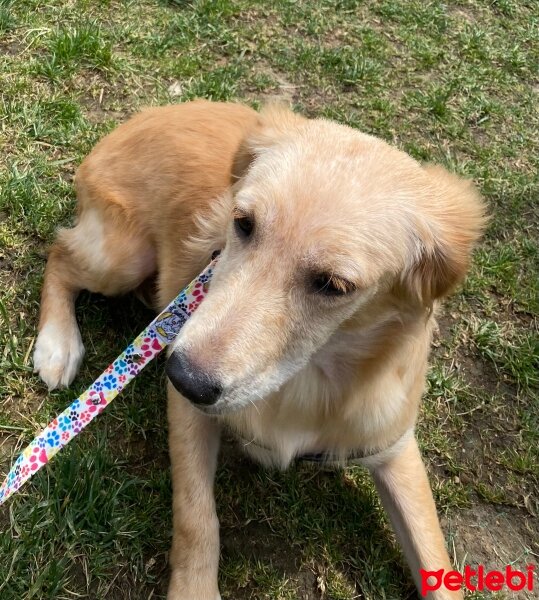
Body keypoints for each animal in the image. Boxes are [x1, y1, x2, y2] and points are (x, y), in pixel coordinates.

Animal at [34, 101, 490, 596]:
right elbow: (196, 517)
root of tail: (141, 117)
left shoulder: (394, 446)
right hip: (123, 258)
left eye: (335, 285)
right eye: (243, 223)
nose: (184, 376)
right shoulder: (189, 411)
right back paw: (57, 344)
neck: (310, 381)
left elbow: (434, 557)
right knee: (58, 253)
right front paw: (194, 590)